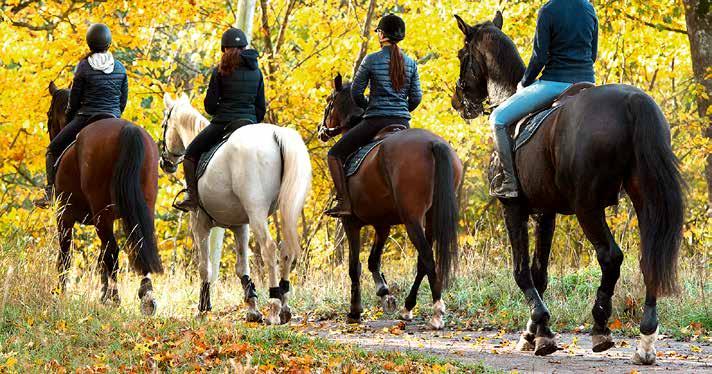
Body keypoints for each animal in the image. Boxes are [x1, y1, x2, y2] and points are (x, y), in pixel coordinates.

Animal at [45, 82, 164, 316]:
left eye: (49, 114)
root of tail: (127, 130)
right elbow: (102, 259)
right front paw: (102, 294)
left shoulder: (64, 216)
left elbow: (65, 255)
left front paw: (60, 292)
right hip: (140, 208)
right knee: (137, 246)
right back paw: (146, 296)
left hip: (101, 213)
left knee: (112, 252)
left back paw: (116, 298)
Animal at [161, 93, 312, 324]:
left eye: (164, 125)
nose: (165, 163)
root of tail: (276, 134)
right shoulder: (240, 226)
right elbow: (242, 268)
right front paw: (252, 308)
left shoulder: (199, 223)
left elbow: (204, 268)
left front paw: (202, 308)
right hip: (284, 209)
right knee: (286, 248)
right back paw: (285, 306)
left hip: (256, 211)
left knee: (269, 248)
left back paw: (274, 307)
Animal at [318, 73, 462, 328]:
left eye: (329, 101)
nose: (321, 130)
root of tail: (433, 143)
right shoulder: (382, 225)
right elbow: (373, 260)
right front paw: (385, 293)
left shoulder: (351, 223)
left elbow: (354, 267)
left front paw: (355, 312)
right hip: (431, 218)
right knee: (422, 261)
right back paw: (407, 308)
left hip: (412, 219)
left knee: (427, 256)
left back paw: (436, 312)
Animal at [450, 12, 684, 366]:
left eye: (463, 55)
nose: (458, 102)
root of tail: (633, 101)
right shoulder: (546, 213)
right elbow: (540, 272)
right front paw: (532, 333)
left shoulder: (513, 208)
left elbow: (522, 271)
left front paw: (542, 333)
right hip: (645, 200)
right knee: (649, 258)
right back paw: (645, 342)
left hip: (588, 206)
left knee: (611, 257)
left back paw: (601, 328)